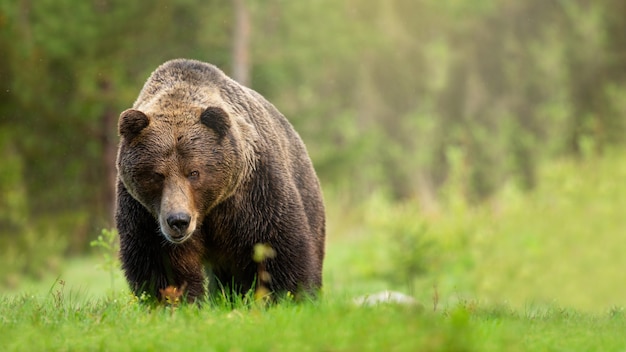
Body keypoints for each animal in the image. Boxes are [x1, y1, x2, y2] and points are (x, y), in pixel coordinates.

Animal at [114, 59, 324, 302]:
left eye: (193, 172)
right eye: (157, 174)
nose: (178, 220)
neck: (207, 210)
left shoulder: (253, 193)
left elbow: (276, 246)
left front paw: (290, 295)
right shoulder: (144, 213)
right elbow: (161, 263)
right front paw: (177, 301)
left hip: (306, 191)